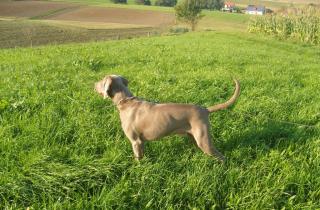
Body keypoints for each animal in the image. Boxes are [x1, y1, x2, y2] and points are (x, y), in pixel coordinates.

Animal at [95, 75, 240, 162]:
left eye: (101, 81)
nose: (93, 84)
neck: (126, 102)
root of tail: (204, 109)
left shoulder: (135, 141)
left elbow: (137, 158)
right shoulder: (141, 143)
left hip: (204, 139)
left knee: (222, 157)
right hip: (194, 137)